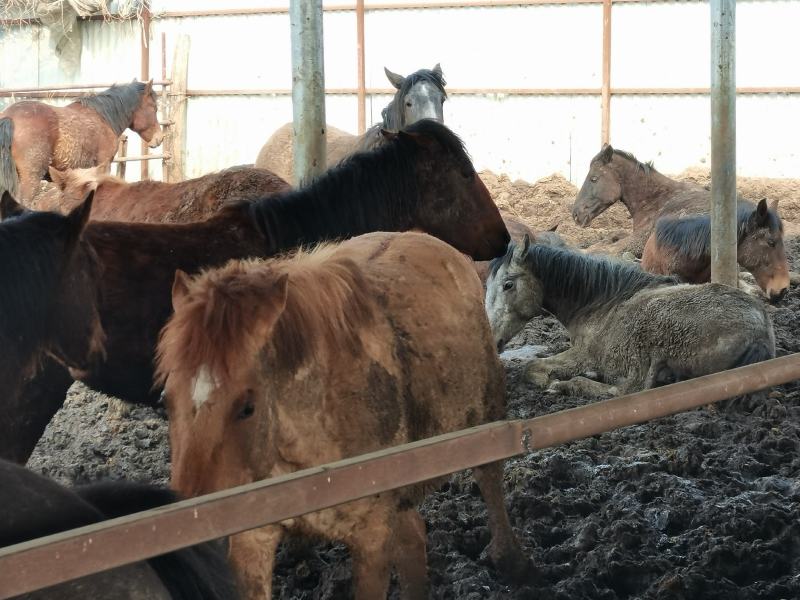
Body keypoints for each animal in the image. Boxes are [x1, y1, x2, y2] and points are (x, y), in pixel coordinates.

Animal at [0, 80, 162, 202]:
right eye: (154, 108)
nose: (159, 138)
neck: (103, 118)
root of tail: (9, 117)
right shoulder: (104, 164)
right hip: (31, 179)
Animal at [156, 231, 531, 599]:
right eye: (165, 399)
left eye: (247, 407)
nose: (187, 536)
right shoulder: (252, 540)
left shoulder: (372, 540)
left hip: (487, 412)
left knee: (489, 479)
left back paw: (511, 559)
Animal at [485, 236, 775, 397]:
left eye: (508, 285)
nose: (493, 341)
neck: (600, 305)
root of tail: (759, 329)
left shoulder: (583, 354)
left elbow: (532, 367)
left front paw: (552, 382)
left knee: (627, 391)